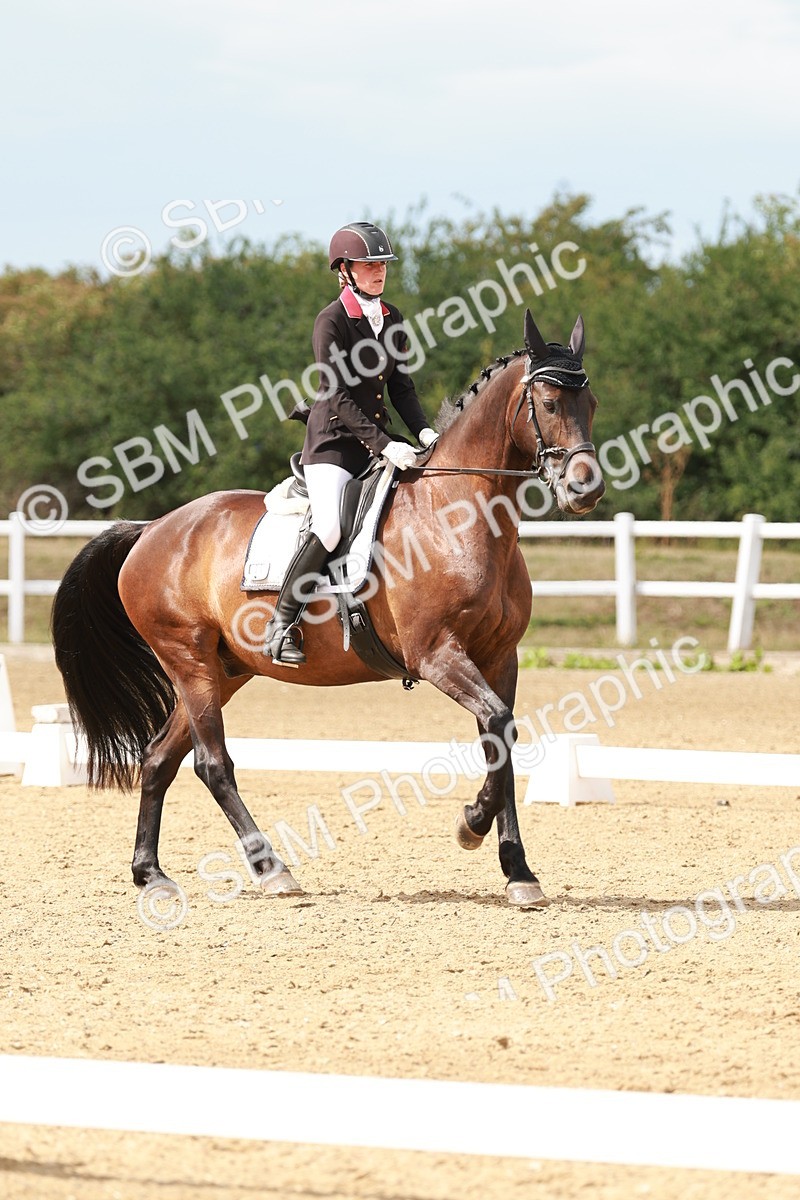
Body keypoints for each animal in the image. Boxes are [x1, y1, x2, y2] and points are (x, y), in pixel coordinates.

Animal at [52, 309, 605, 910]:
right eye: (548, 403)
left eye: (591, 403)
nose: (585, 490)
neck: (455, 516)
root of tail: (152, 528)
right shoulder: (436, 654)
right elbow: (499, 726)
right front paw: (471, 826)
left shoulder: (501, 656)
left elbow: (499, 740)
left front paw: (518, 870)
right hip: (188, 659)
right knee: (211, 763)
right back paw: (271, 869)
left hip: (225, 670)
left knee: (158, 759)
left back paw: (150, 872)